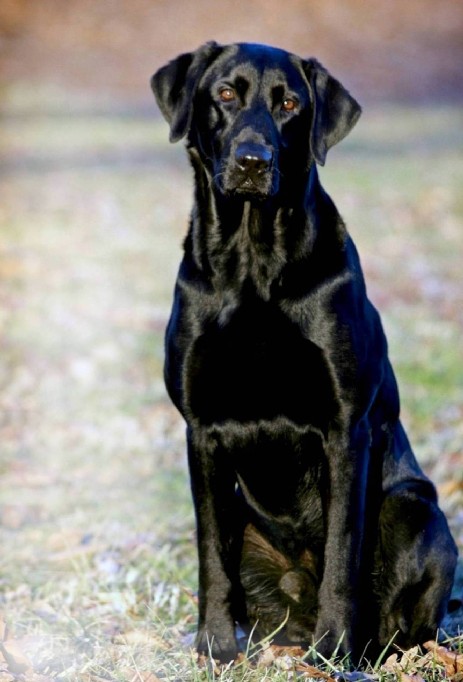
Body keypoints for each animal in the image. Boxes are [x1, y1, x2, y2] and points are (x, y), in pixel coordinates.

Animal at [150, 41, 458, 660]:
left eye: (289, 103)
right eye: (225, 93)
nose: (253, 160)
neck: (253, 266)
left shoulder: (344, 429)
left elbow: (342, 553)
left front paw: (334, 651)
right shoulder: (201, 430)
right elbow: (210, 558)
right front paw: (215, 648)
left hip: (415, 510)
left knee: (404, 622)